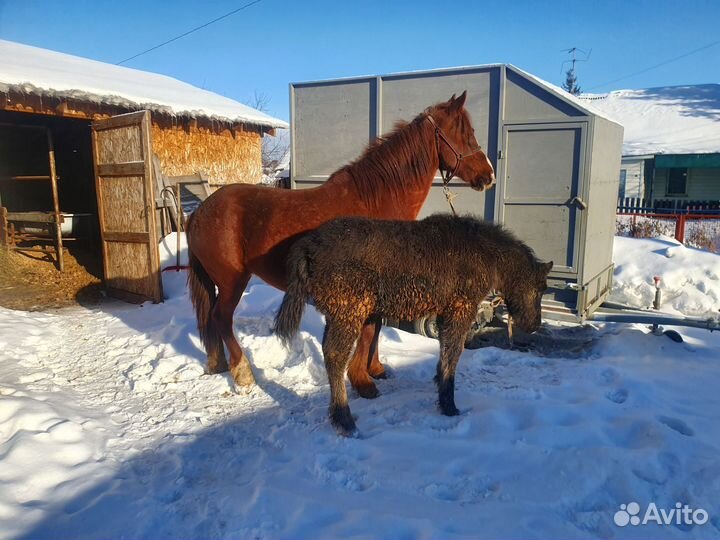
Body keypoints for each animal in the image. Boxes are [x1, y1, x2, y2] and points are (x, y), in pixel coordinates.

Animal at [186, 91, 496, 398]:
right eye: (466, 134)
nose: (489, 176)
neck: (377, 200)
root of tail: (200, 211)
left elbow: (376, 328)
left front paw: (375, 369)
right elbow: (369, 330)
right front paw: (362, 380)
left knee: (212, 319)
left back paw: (219, 363)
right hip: (232, 280)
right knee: (221, 318)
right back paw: (243, 374)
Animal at [274, 214, 552, 435]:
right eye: (540, 288)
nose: (535, 324)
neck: (487, 256)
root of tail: (307, 247)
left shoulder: (445, 313)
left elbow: (445, 354)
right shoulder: (460, 309)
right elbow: (453, 354)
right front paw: (448, 404)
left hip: (340, 314)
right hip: (348, 311)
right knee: (335, 355)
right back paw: (344, 419)